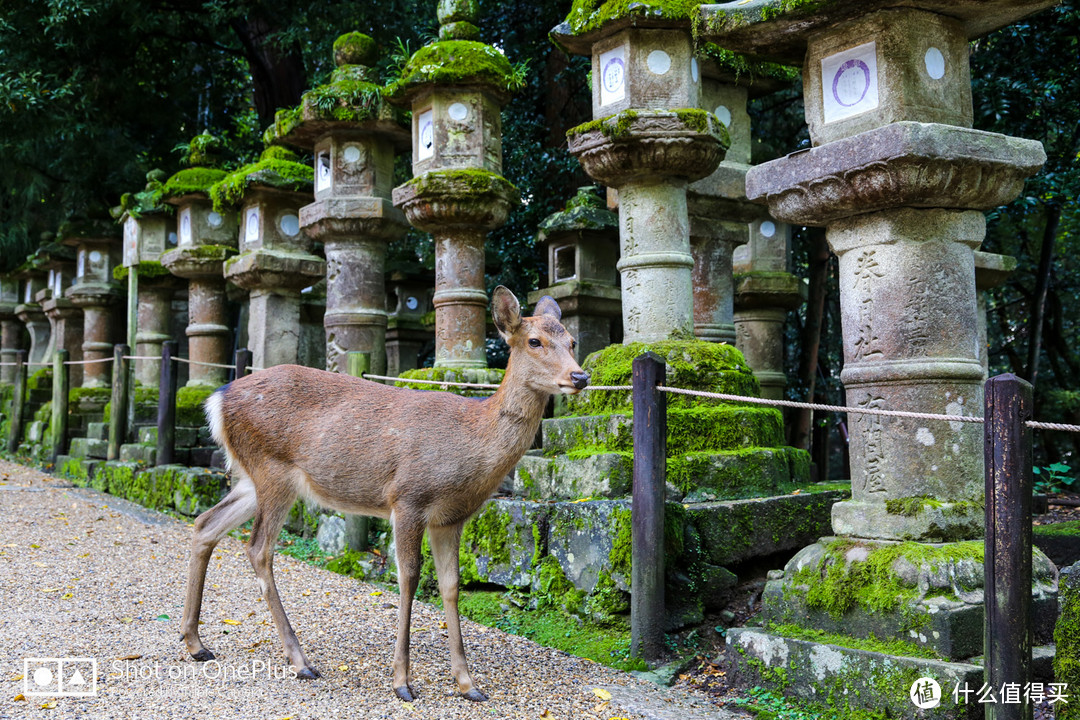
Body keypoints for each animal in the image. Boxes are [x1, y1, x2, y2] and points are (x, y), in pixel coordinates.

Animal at [179, 287, 583, 703]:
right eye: (534, 341)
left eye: (572, 341)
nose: (580, 376)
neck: (473, 441)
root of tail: (216, 400)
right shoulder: (408, 498)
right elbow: (409, 578)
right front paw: (402, 682)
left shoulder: (451, 519)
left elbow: (451, 586)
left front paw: (468, 684)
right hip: (272, 469)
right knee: (258, 548)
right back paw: (300, 661)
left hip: (250, 478)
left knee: (205, 524)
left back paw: (196, 643)